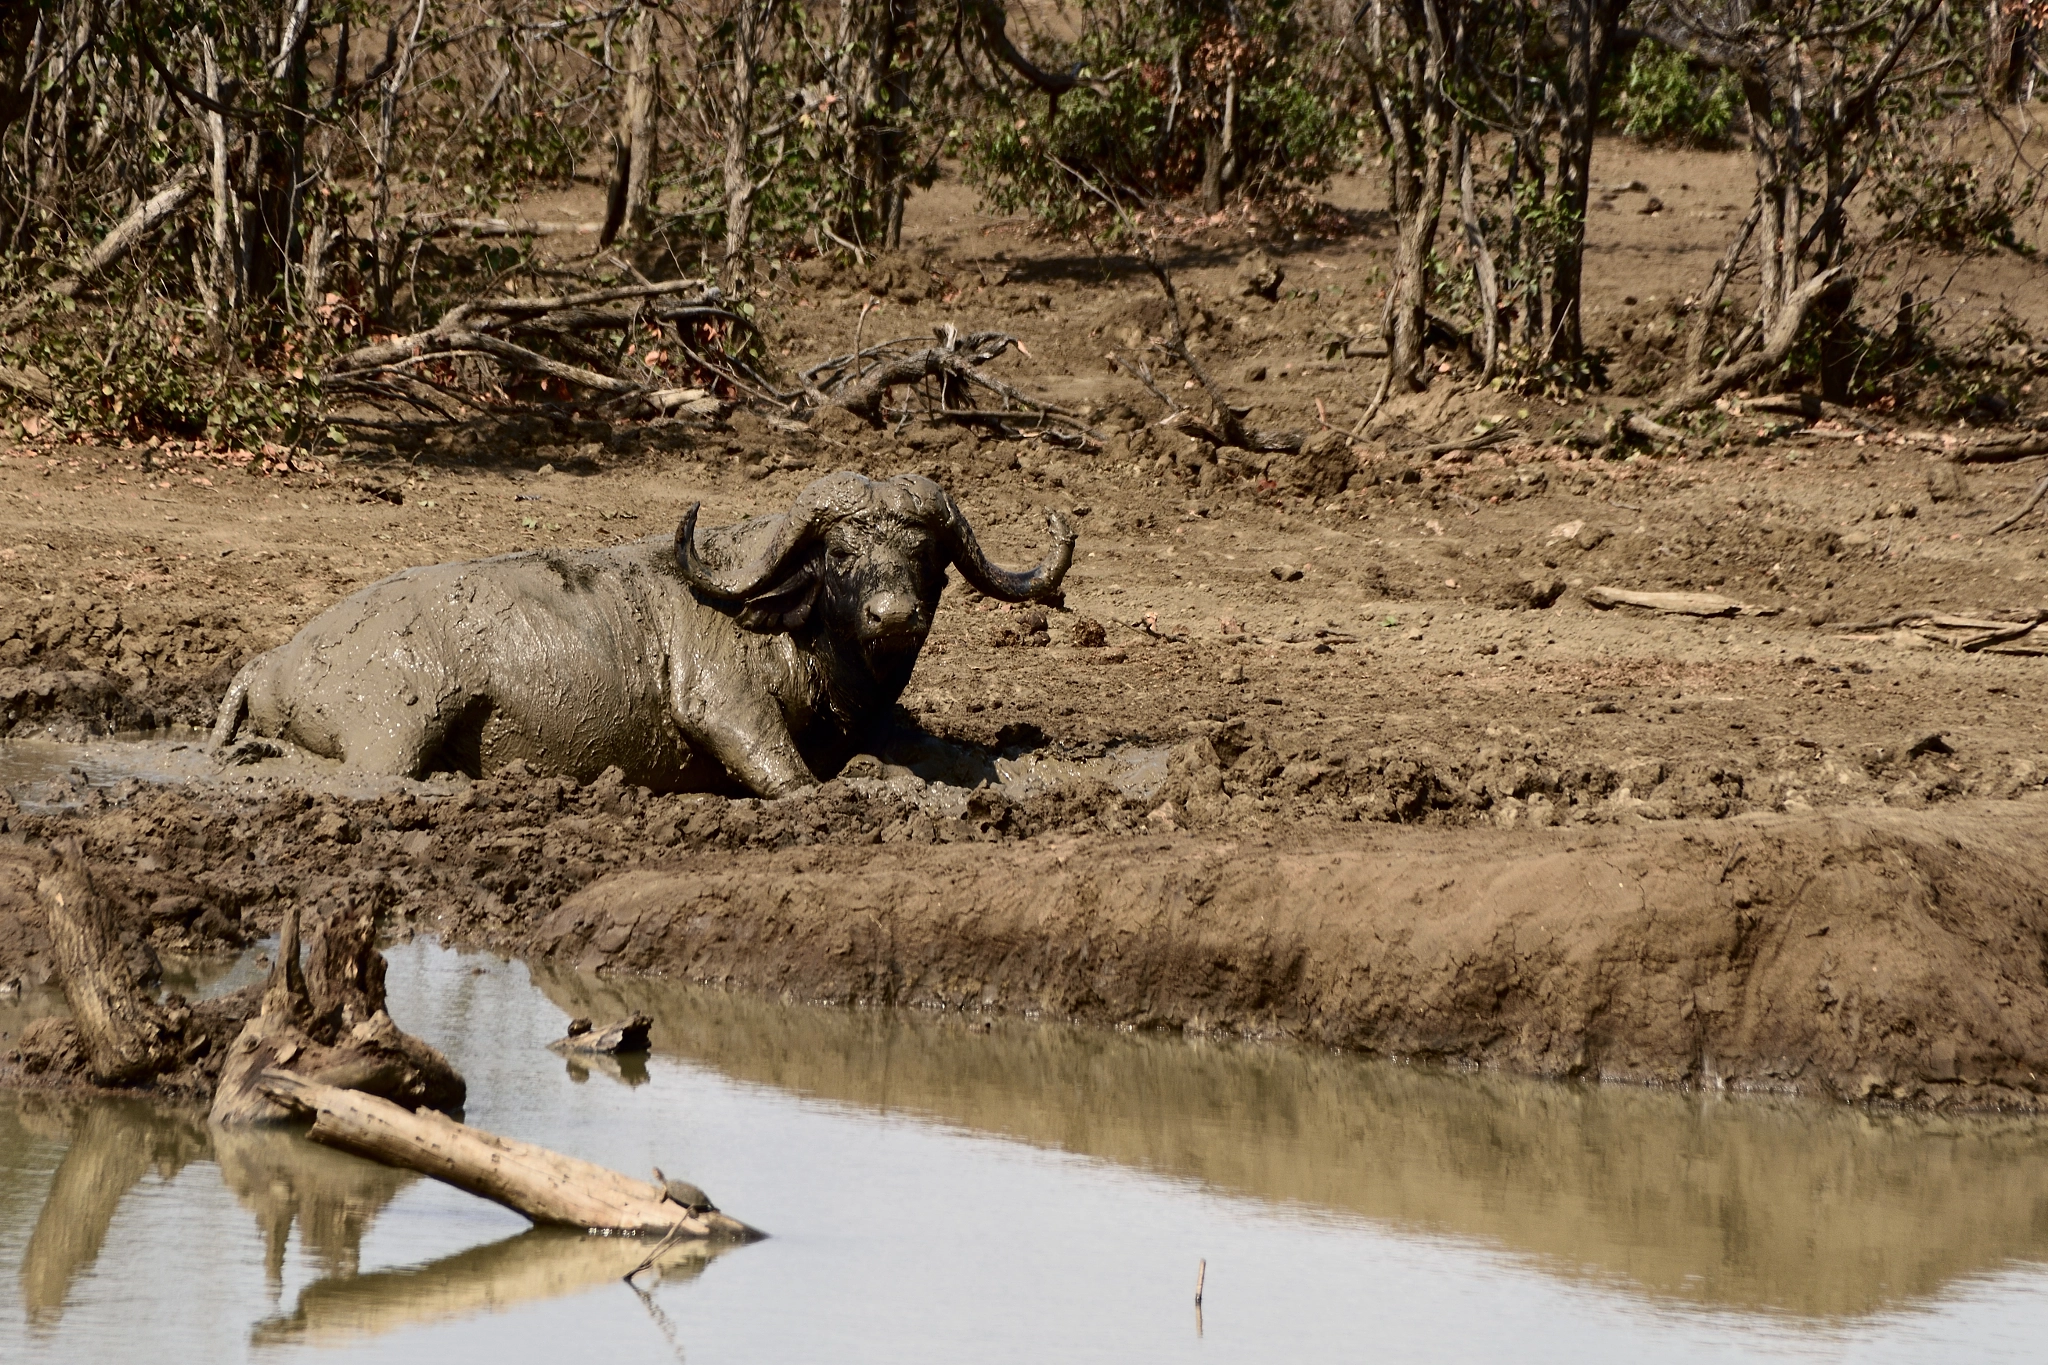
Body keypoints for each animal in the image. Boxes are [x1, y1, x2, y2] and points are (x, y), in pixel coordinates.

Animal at [209, 471, 1075, 796]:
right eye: (839, 553)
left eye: (926, 555)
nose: (893, 615)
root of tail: (274, 659)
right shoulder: (723, 707)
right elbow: (795, 778)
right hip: (395, 730)